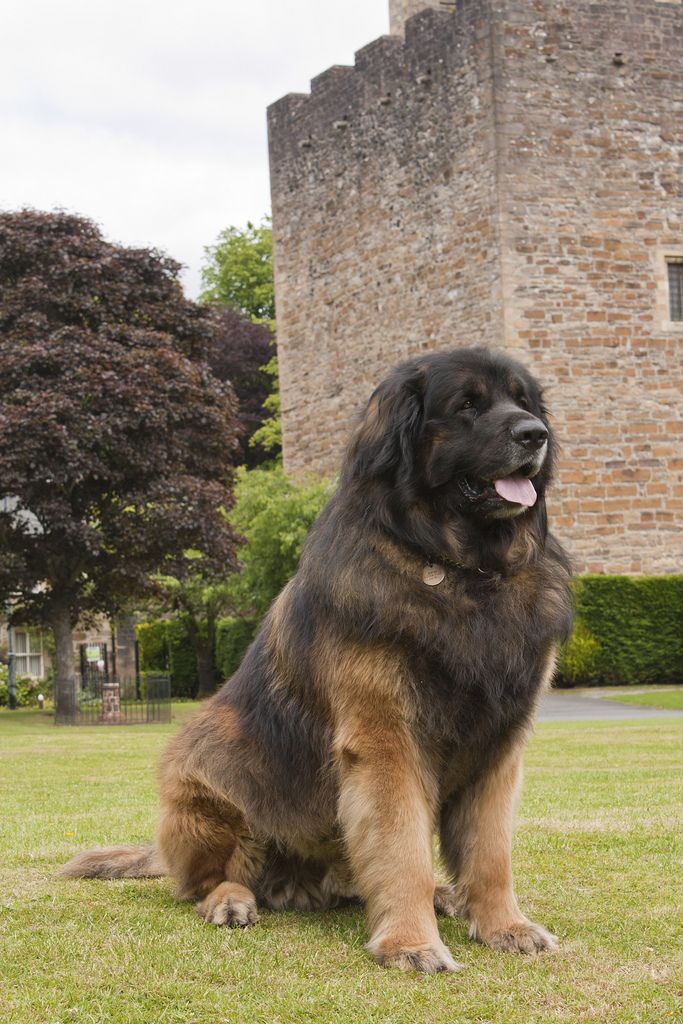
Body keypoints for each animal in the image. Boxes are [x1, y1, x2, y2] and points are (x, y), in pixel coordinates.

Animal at [65, 348, 577, 970]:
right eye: (467, 405)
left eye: (524, 402)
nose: (535, 435)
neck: (461, 570)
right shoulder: (385, 740)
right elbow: (403, 847)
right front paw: (411, 942)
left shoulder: (499, 745)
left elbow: (491, 853)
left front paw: (505, 926)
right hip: (210, 776)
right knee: (206, 879)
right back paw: (230, 900)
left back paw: (440, 895)